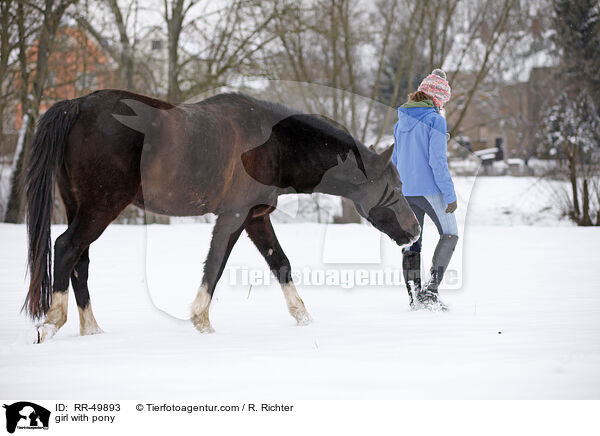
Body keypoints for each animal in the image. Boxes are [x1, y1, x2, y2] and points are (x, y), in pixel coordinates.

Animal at [23, 89, 420, 340]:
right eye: (395, 188)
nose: (415, 231)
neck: (272, 143)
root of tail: (77, 105)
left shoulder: (257, 218)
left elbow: (281, 263)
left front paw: (303, 318)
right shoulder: (234, 215)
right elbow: (215, 264)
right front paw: (202, 322)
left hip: (81, 206)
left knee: (80, 260)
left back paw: (92, 331)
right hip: (101, 207)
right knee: (67, 247)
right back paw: (53, 322)